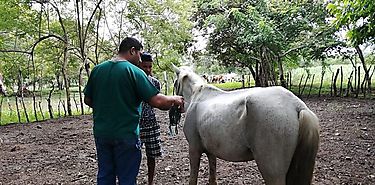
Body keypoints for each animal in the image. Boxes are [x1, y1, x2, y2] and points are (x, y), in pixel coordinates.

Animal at [173, 66, 320, 185]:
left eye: (174, 83)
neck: (198, 95)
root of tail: (296, 105)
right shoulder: (211, 151)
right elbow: (212, 173)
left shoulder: (194, 149)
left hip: (272, 172)